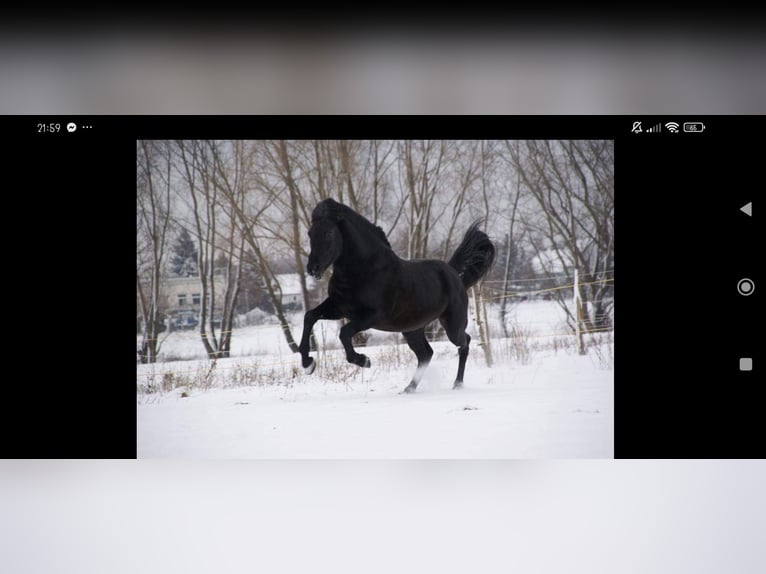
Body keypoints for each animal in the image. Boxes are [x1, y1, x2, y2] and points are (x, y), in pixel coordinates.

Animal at [300, 199, 498, 396]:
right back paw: (409, 388)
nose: (313, 268)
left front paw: (364, 360)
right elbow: (309, 316)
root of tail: (454, 273)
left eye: (329, 233)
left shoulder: (372, 316)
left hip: (452, 325)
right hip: (412, 329)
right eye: (309, 233)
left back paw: (457, 384)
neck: (365, 269)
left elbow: (344, 332)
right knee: (426, 353)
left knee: (464, 343)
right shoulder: (339, 308)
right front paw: (307, 364)